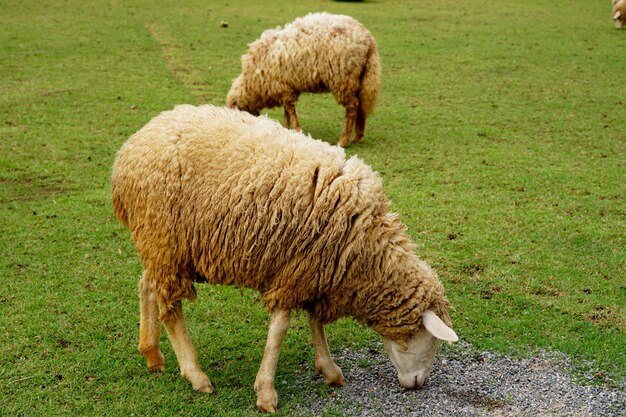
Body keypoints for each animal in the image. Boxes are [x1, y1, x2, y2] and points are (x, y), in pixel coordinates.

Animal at [109, 105, 456, 412]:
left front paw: (329, 369)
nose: (418, 385)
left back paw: (152, 354)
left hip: (159, 244)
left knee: (146, 285)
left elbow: (315, 321)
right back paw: (195, 375)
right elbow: (279, 330)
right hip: (164, 240)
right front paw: (266, 392)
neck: (366, 250)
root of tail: (130, 149)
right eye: (431, 341)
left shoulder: (316, 268)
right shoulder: (295, 269)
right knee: (170, 310)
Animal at [225, 12, 380, 146]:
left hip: (343, 78)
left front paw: (297, 130)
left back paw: (343, 141)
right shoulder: (286, 88)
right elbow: (287, 111)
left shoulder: (283, 87)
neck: (251, 82)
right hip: (361, 77)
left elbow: (290, 111)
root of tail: (368, 40)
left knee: (353, 106)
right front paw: (286, 128)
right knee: (362, 105)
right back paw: (357, 136)